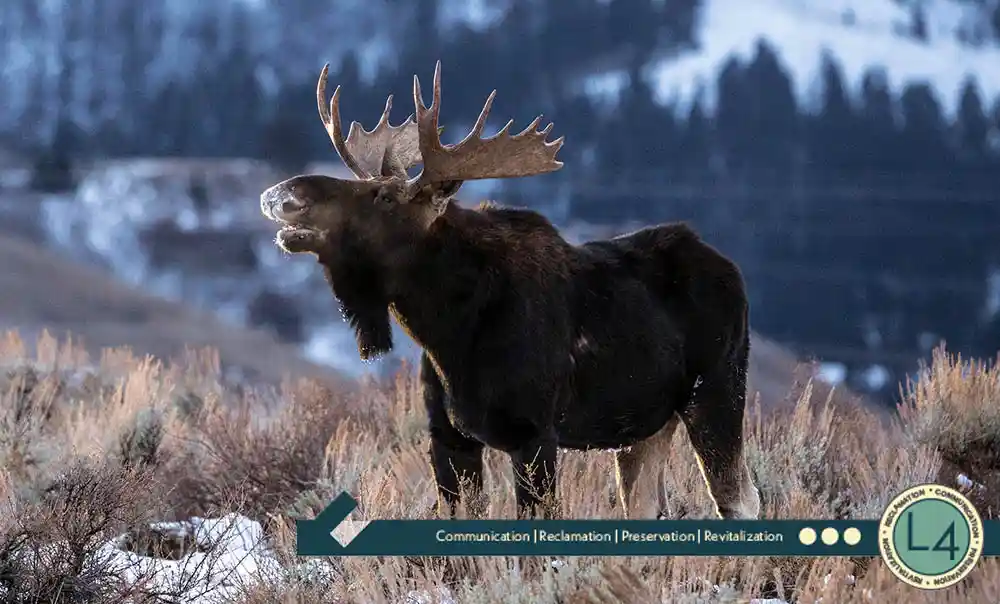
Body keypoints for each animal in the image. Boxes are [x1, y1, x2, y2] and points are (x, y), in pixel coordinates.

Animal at [258, 61, 756, 520]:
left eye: (385, 197)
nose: (281, 194)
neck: (448, 331)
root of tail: (732, 270)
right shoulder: (448, 436)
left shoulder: (534, 433)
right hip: (645, 426)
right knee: (647, 505)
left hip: (716, 390)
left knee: (738, 499)